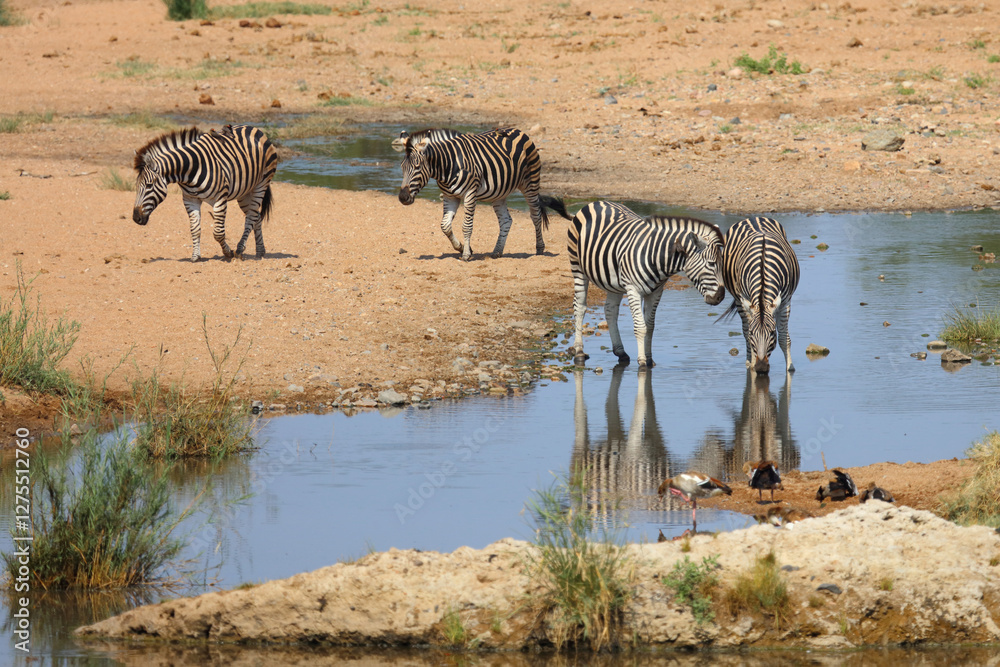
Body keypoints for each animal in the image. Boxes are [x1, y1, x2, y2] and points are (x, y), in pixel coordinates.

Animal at [132, 124, 277, 261]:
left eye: (149, 185)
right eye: (136, 186)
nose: (136, 218)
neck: (190, 170)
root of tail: (255, 128)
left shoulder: (220, 199)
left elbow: (218, 233)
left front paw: (228, 253)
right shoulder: (190, 199)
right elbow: (195, 229)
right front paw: (195, 256)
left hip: (260, 185)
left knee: (251, 217)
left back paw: (240, 249)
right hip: (245, 192)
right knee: (256, 216)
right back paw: (260, 251)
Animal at [392, 127, 559, 261]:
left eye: (418, 167)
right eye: (402, 167)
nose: (402, 197)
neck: (447, 166)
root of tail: (518, 130)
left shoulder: (470, 194)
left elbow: (467, 225)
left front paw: (466, 254)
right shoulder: (450, 196)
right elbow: (445, 225)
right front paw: (461, 247)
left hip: (530, 184)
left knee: (536, 215)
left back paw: (539, 249)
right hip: (499, 193)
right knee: (506, 220)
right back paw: (497, 252)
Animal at [567, 200, 726, 368]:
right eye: (711, 263)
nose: (720, 297)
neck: (657, 257)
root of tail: (596, 202)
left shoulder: (656, 291)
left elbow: (650, 327)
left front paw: (649, 359)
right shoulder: (633, 290)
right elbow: (640, 327)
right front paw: (642, 362)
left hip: (614, 281)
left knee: (610, 310)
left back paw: (621, 352)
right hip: (577, 268)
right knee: (580, 307)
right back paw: (579, 352)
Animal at [718, 216, 800, 374]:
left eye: (772, 333)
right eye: (752, 334)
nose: (761, 368)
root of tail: (754, 217)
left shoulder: (785, 301)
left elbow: (784, 338)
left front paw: (790, 368)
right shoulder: (745, 300)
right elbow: (747, 335)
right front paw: (752, 367)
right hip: (739, 301)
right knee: (744, 330)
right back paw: (748, 362)